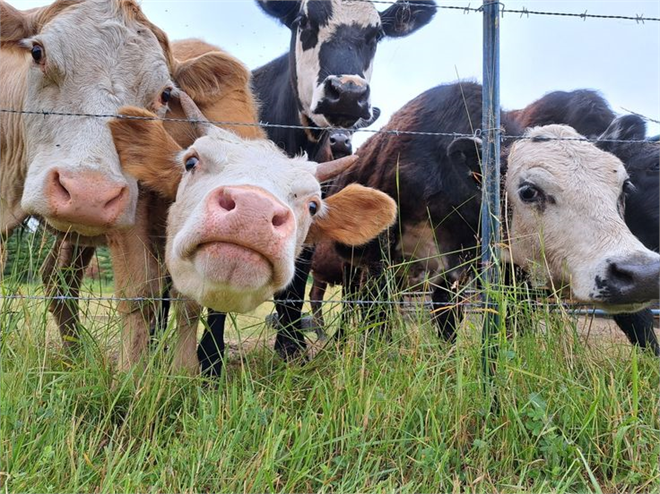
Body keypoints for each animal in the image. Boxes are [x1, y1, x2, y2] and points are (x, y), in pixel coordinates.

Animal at [201, 0, 438, 374]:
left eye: (377, 34)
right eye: (304, 20)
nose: (348, 94)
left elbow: (295, 284)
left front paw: (291, 347)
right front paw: (210, 359)